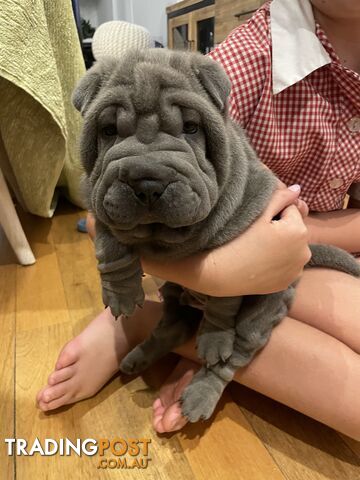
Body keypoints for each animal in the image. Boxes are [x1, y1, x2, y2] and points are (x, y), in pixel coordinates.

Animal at [73, 48, 360, 422]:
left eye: (191, 128)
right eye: (108, 131)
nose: (147, 181)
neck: (165, 236)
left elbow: (224, 300)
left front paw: (214, 339)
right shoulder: (100, 196)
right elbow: (110, 242)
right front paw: (121, 294)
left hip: (261, 312)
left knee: (233, 356)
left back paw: (199, 395)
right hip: (173, 293)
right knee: (173, 325)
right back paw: (137, 357)